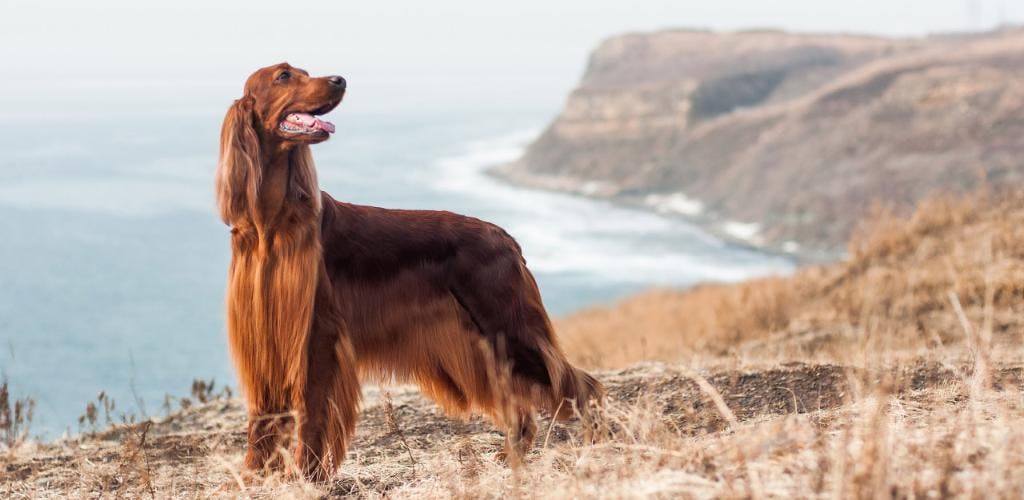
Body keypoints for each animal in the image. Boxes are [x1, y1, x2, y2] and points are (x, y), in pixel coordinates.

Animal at [214, 63, 598, 479]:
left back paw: (601, 442)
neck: (271, 225)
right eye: (284, 75)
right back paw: (512, 452)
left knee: (582, 385)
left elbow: (312, 414)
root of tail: (505, 237)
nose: (339, 81)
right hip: (484, 343)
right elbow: (263, 418)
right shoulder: (262, 334)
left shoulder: (316, 334)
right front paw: (252, 477)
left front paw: (306, 476)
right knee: (517, 399)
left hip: (508, 327)